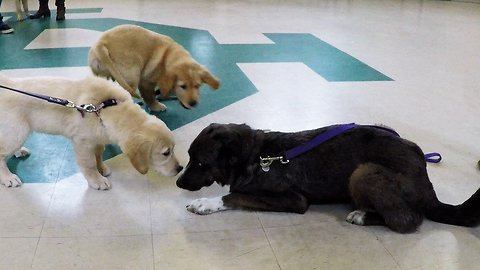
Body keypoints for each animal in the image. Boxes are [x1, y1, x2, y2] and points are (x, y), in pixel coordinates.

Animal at [0, 74, 183, 190]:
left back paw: (19, 152)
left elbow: (98, 155)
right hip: (18, 132)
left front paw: (101, 168)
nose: (180, 168)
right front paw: (97, 180)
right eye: (166, 153)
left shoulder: (98, 138)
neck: (106, 107)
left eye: (174, 149)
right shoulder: (83, 143)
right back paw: (8, 177)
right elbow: (88, 164)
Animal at [87, 24, 219, 110]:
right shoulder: (146, 83)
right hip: (133, 73)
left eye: (198, 86)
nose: (193, 103)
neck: (168, 55)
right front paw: (156, 106)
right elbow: (150, 97)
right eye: (183, 86)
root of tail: (101, 43)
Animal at [177, 123, 480, 233]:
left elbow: (235, 195)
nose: (178, 182)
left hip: (363, 172)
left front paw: (207, 203)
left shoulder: (295, 200)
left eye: (200, 162)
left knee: (406, 220)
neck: (256, 155)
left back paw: (363, 216)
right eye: (189, 157)